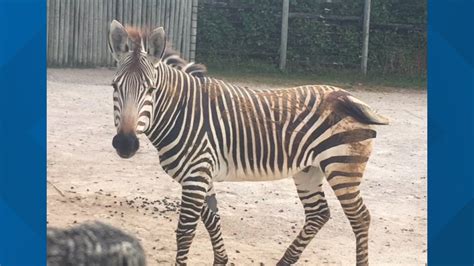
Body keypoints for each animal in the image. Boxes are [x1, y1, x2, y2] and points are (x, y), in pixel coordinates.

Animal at [107, 19, 388, 264]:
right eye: (114, 86)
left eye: (151, 89)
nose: (125, 144)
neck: (182, 112)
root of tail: (347, 96)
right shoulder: (202, 174)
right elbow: (212, 219)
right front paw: (221, 260)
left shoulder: (196, 176)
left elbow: (185, 232)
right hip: (309, 169)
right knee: (318, 214)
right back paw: (284, 262)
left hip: (342, 166)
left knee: (360, 217)